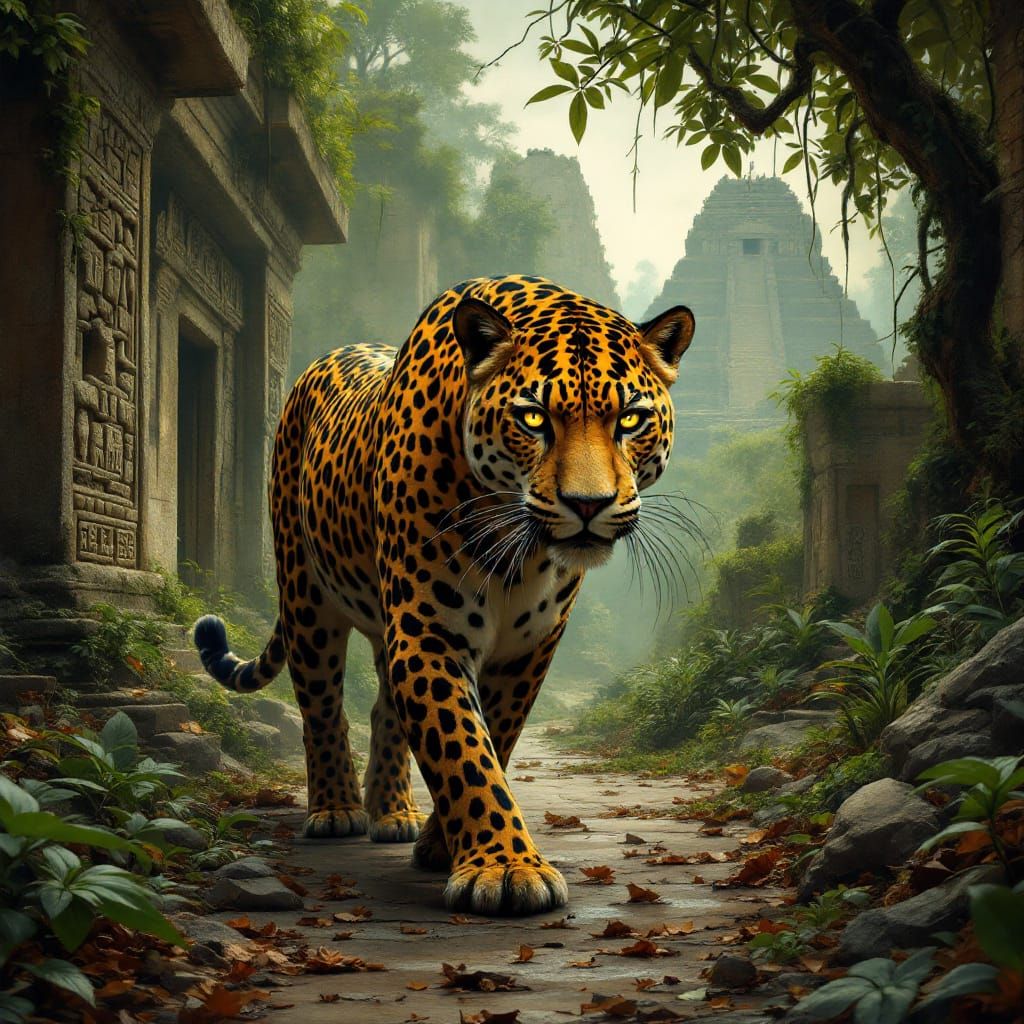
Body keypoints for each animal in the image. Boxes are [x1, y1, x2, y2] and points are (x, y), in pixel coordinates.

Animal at [194, 274, 694, 916]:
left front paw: (444, 845)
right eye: (532, 418)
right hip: (306, 595)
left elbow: (491, 739)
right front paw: (506, 867)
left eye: (630, 419)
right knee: (322, 706)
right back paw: (336, 809)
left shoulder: (527, 648)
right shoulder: (429, 631)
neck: (519, 548)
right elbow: (462, 748)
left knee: (383, 709)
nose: (588, 505)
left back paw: (394, 813)